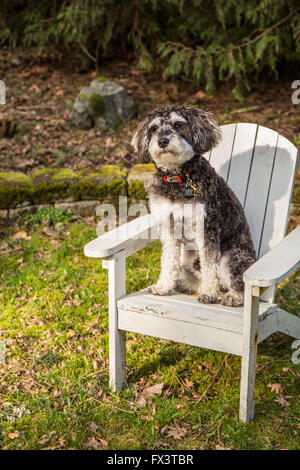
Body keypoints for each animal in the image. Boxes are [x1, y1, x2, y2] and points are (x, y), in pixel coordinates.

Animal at [131, 104, 255, 306]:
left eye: (178, 124)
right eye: (154, 128)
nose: (162, 141)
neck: (177, 179)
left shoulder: (207, 229)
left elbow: (209, 265)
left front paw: (209, 293)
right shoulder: (168, 227)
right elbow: (168, 261)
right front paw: (163, 286)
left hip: (230, 258)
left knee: (238, 283)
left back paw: (231, 296)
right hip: (187, 256)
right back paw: (187, 285)